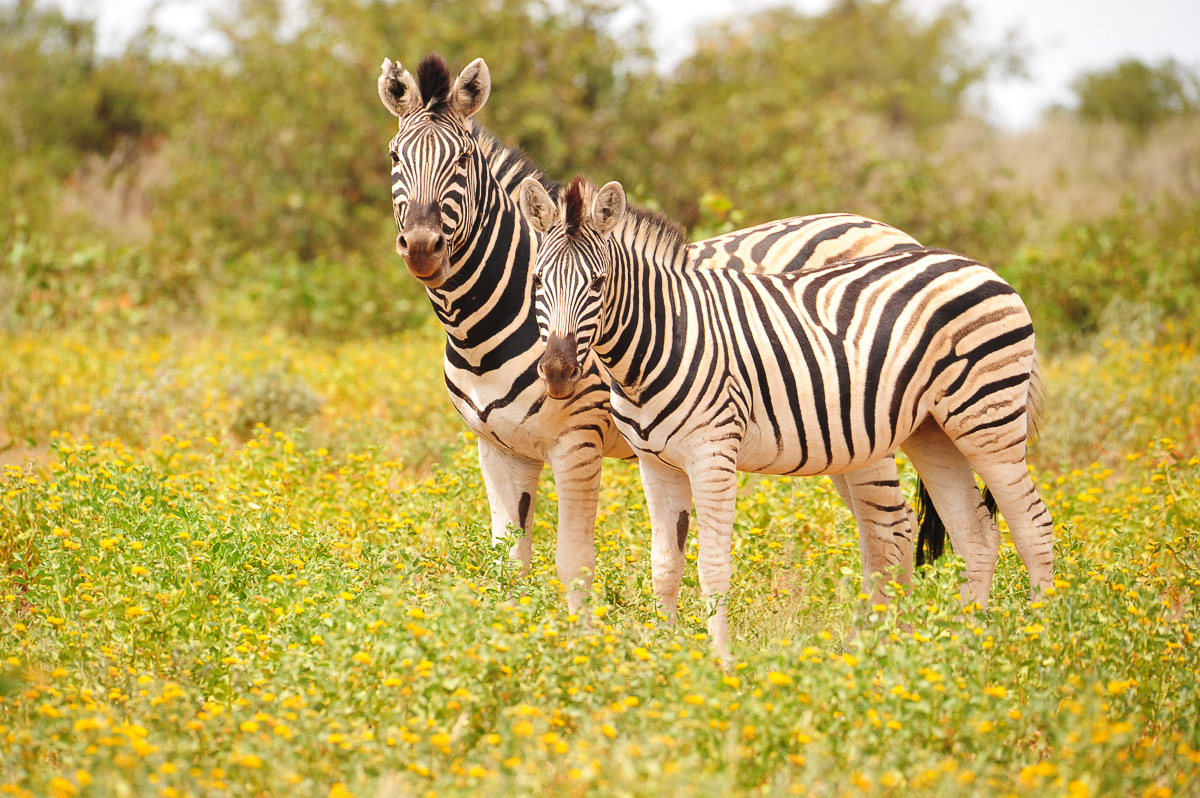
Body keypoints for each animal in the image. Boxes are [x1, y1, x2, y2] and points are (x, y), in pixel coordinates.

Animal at [377, 53, 997, 614]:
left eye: (462, 159)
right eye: (393, 156)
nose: (423, 247)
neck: (482, 330)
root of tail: (899, 235)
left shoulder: (577, 440)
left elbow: (573, 561)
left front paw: (575, 651)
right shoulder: (498, 448)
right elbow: (509, 564)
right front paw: (507, 646)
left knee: (892, 527)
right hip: (838, 436)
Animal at [518, 175, 1052, 654]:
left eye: (598, 284)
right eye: (538, 280)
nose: (557, 373)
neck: (661, 338)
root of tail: (977, 266)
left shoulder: (714, 454)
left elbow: (712, 566)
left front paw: (719, 664)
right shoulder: (656, 464)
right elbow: (665, 566)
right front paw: (667, 659)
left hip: (987, 419)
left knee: (1033, 526)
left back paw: (1038, 641)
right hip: (933, 431)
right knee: (976, 535)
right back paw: (960, 649)